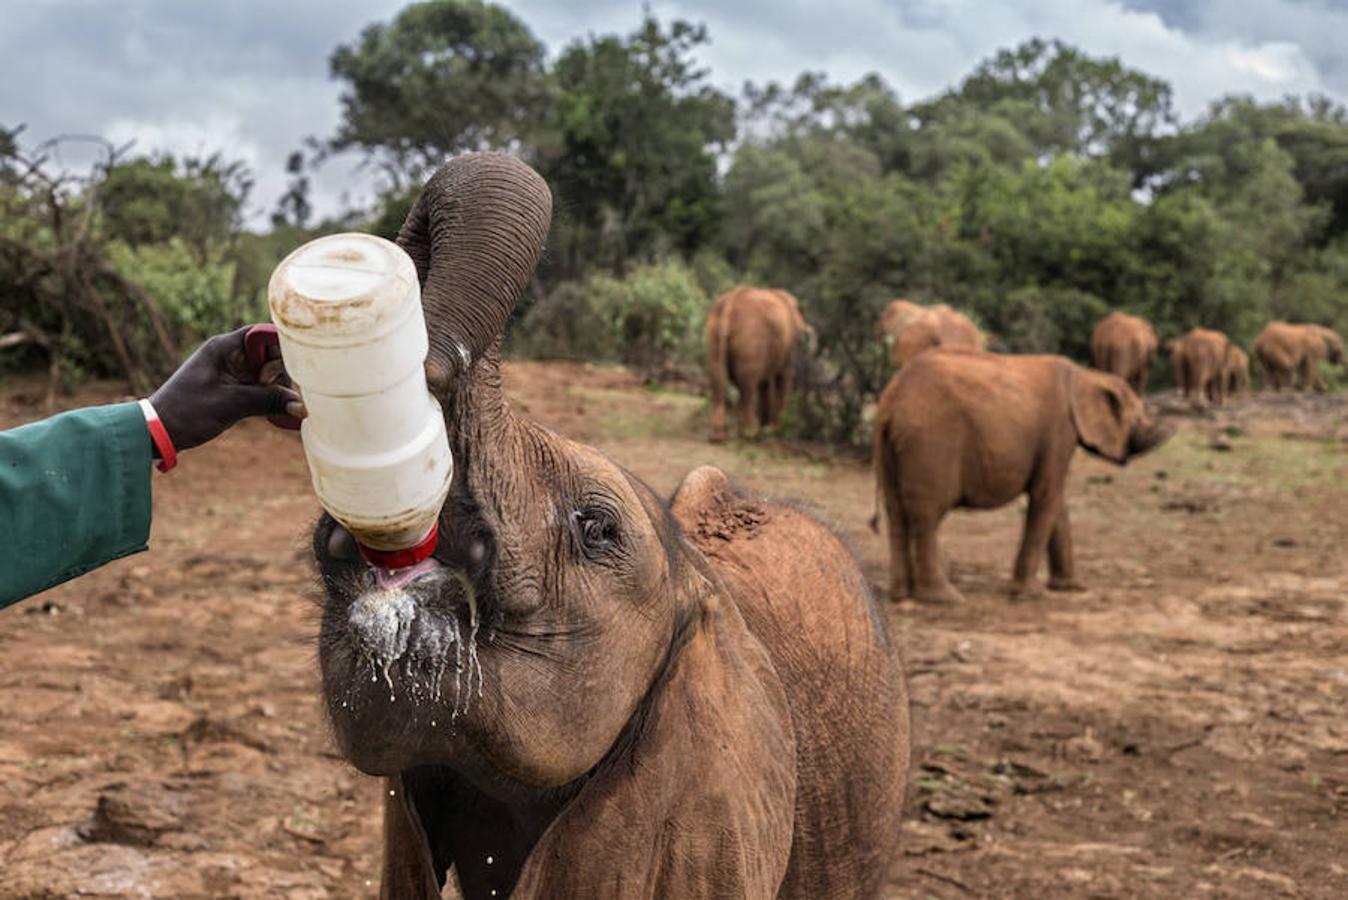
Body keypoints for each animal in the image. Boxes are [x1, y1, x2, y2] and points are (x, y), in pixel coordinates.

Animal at [706, 286, 808, 441]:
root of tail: (730, 302)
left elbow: (765, 383)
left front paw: (766, 429)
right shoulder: (788, 345)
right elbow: (783, 377)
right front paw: (773, 431)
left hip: (714, 335)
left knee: (718, 379)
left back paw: (718, 438)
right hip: (749, 338)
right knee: (747, 385)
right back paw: (748, 434)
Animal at [873, 350, 1170, 603]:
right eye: (1137, 418)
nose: (1166, 428)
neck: (1086, 375)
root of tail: (891, 400)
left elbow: (1056, 502)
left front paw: (1072, 588)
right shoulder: (1059, 430)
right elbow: (1047, 496)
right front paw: (1030, 594)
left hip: (893, 447)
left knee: (896, 513)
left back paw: (901, 595)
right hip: (930, 442)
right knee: (927, 516)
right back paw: (945, 598)